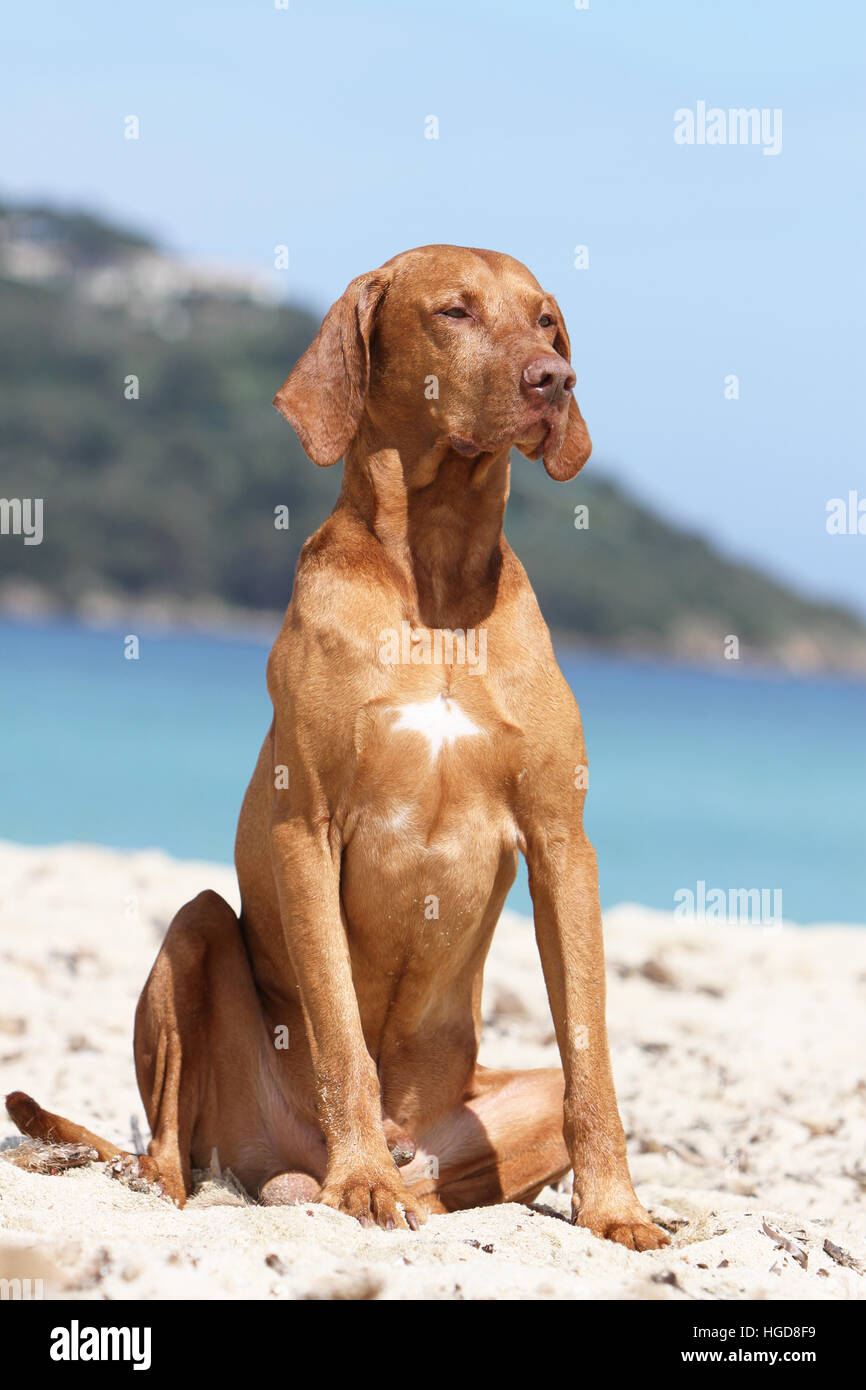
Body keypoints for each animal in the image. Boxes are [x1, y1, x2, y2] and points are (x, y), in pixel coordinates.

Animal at [6, 244, 667, 1256]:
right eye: (455, 312)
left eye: (546, 321)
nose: (555, 380)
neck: (434, 570)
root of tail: (277, 1166)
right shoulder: (306, 827)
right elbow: (340, 1030)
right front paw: (359, 1183)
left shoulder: (564, 843)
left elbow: (591, 1061)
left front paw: (616, 1210)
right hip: (196, 939)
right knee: (170, 1129)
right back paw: (207, 1178)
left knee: (483, 1147)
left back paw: (404, 1182)